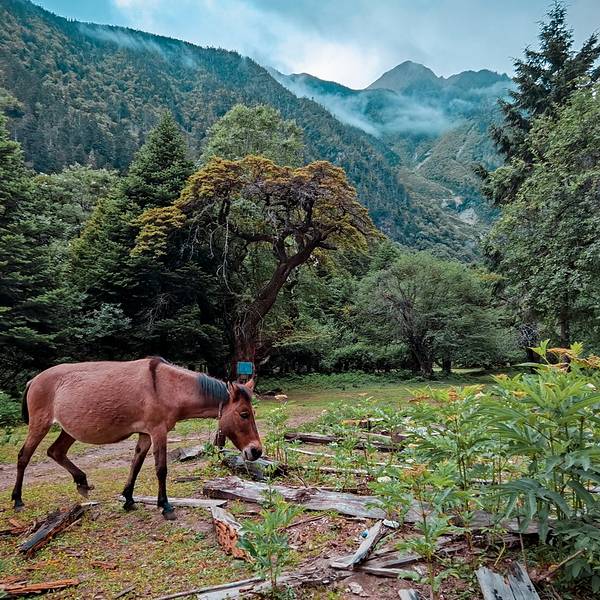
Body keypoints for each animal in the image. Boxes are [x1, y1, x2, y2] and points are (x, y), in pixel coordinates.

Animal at [11, 357, 262, 519]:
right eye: (244, 414)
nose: (256, 451)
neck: (167, 387)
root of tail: (34, 380)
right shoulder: (158, 431)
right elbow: (161, 469)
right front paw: (165, 506)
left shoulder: (145, 434)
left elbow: (136, 464)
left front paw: (129, 499)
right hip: (40, 424)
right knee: (24, 456)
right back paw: (17, 499)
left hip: (68, 430)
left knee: (56, 451)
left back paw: (81, 481)